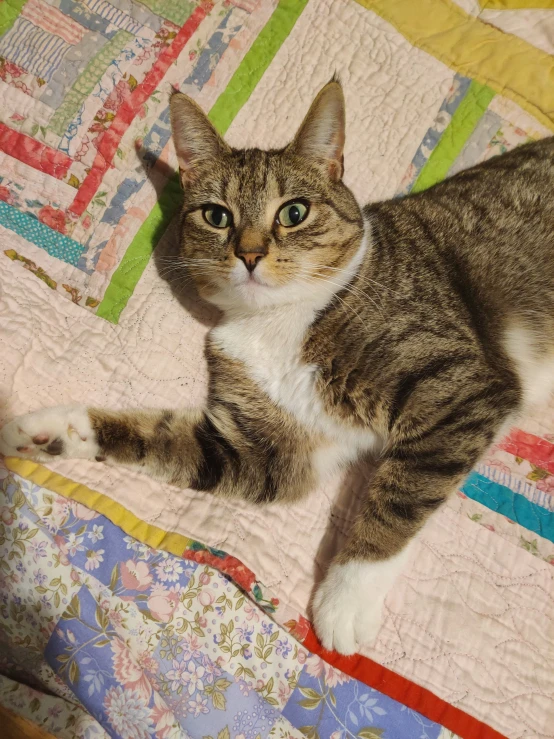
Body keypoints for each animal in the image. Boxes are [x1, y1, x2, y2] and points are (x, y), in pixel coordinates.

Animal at [1, 81, 552, 656]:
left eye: (294, 212)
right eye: (216, 216)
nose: (249, 254)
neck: (280, 322)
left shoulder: (460, 387)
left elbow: (398, 496)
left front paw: (345, 601)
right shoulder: (265, 449)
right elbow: (160, 438)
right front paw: (43, 431)